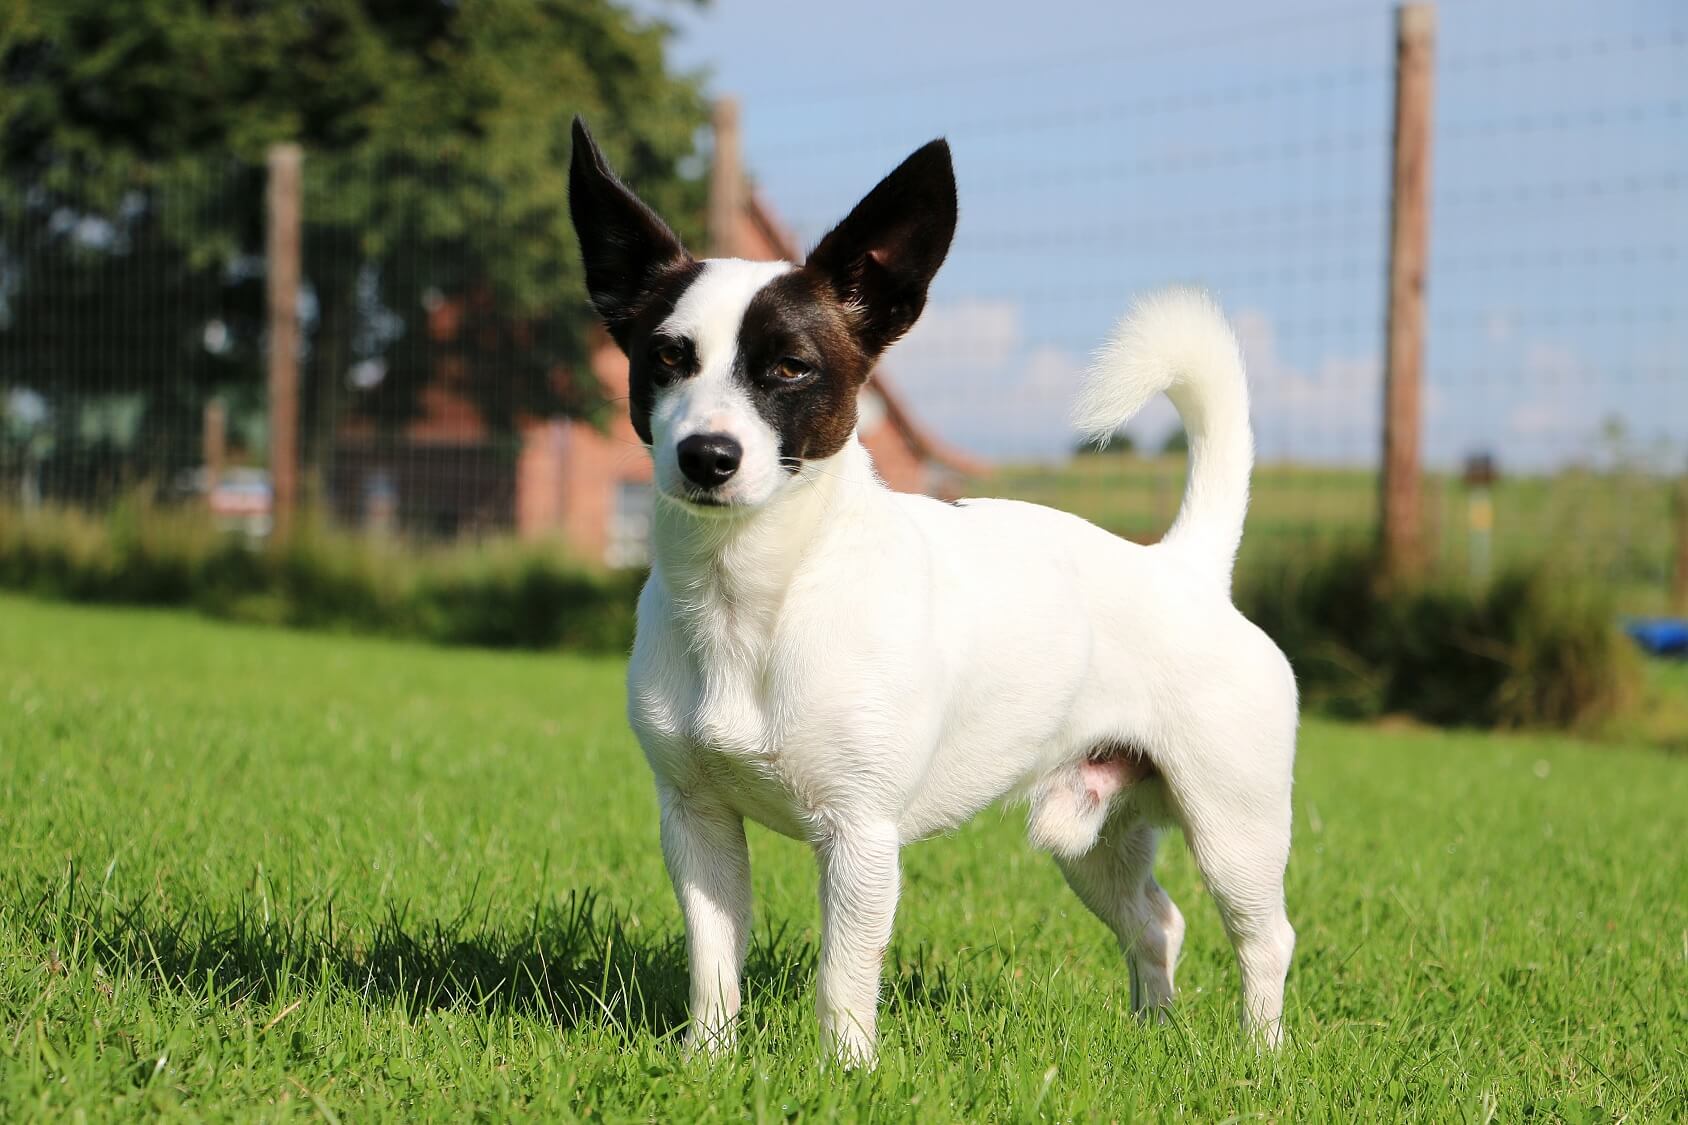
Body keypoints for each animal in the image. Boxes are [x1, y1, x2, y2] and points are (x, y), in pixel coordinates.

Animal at [573, 118, 1296, 1067]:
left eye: (793, 368)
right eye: (665, 357)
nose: (707, 455)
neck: (759, 596)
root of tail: (1185, 565)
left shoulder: (860, 836)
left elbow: (844, 979)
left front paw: (843, 1071)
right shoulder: (696, 824)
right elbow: (715, 964)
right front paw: (708, 1061)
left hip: (1234, 825)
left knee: (1264, 937)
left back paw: (1261, 1057)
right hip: (1093, 835)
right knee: (1157, 921)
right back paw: (1154, 1029)